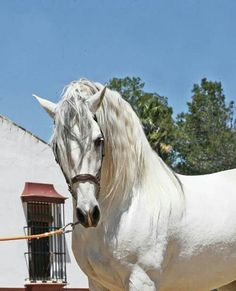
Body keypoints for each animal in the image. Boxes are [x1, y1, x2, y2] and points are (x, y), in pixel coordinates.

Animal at [34, 78, 236, 290]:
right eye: (56, 145)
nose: (88, 213)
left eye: (99, 140)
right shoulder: (96, 283)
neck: (126, 206)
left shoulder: (142, 280)